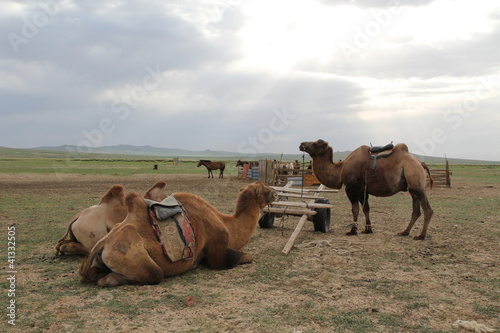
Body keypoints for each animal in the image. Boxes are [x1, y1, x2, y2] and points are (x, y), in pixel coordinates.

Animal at [80, 180, 280, 286]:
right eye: (264, 189)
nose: (276, 192)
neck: (227, 223)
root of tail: (103, 244)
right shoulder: (217, 250)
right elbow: (244, 257)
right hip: (136, 259)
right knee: (154, 274)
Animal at [300, 138, 434, 239]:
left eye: (315, 143)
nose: (302, 144)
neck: (340, 169)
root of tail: (420, 163)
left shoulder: (352, 188)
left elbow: (355, 209)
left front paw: (353, 230)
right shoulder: (362, 190)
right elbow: (366, 209)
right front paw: (368, 229)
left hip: (417, 184)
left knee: (428, 210)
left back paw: (421, 236)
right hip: (412, 189)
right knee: (416, 211)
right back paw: (404, 232)